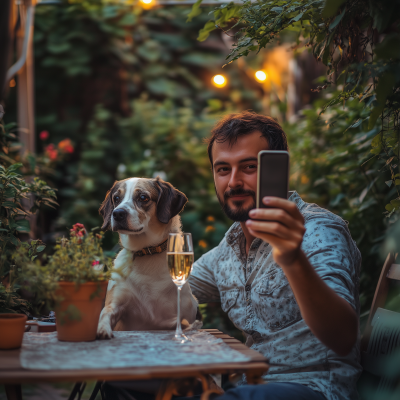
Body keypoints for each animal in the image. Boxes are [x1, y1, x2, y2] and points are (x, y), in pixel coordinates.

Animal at [97, 177, 200, 340]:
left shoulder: (183, 313)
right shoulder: (115, 303)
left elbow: (182, 323)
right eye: (116, 198)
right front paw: (102, 329)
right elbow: (105, 313)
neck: (146, 252)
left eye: (143, 197)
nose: (117, 213)